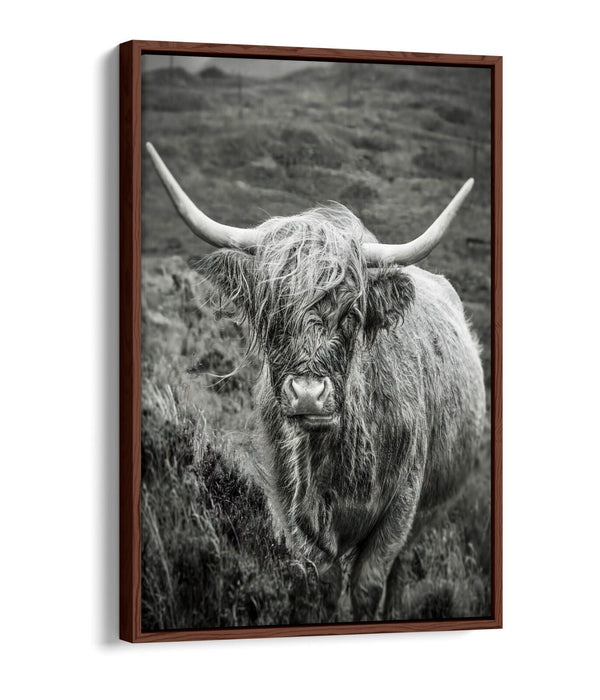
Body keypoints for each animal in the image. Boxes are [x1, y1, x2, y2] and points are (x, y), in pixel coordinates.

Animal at [146, 142, 486, 622]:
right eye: (271, 314)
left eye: (352, 315)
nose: (308, 394)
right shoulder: (293, 510)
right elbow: (321, 583)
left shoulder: (401, 506)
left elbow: (369, 584)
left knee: (401, 572)